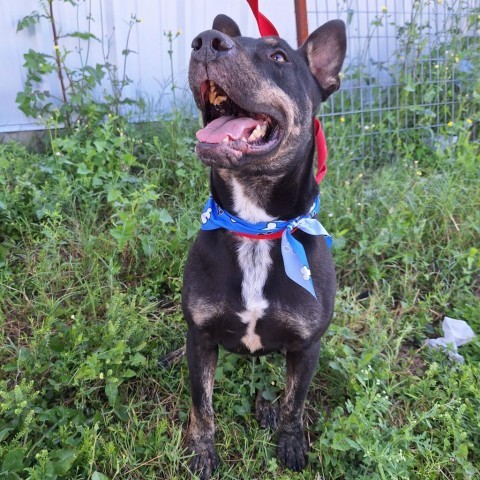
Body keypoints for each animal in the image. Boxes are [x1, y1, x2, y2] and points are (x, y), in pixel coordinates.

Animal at [183, 13, 344, 478]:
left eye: (279, 57)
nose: (206, 42)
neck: (257, 228)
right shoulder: (200, 339)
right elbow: (202, 405)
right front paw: (202, 451)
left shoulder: (307, 348)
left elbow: (294, 403)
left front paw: (290, 443)